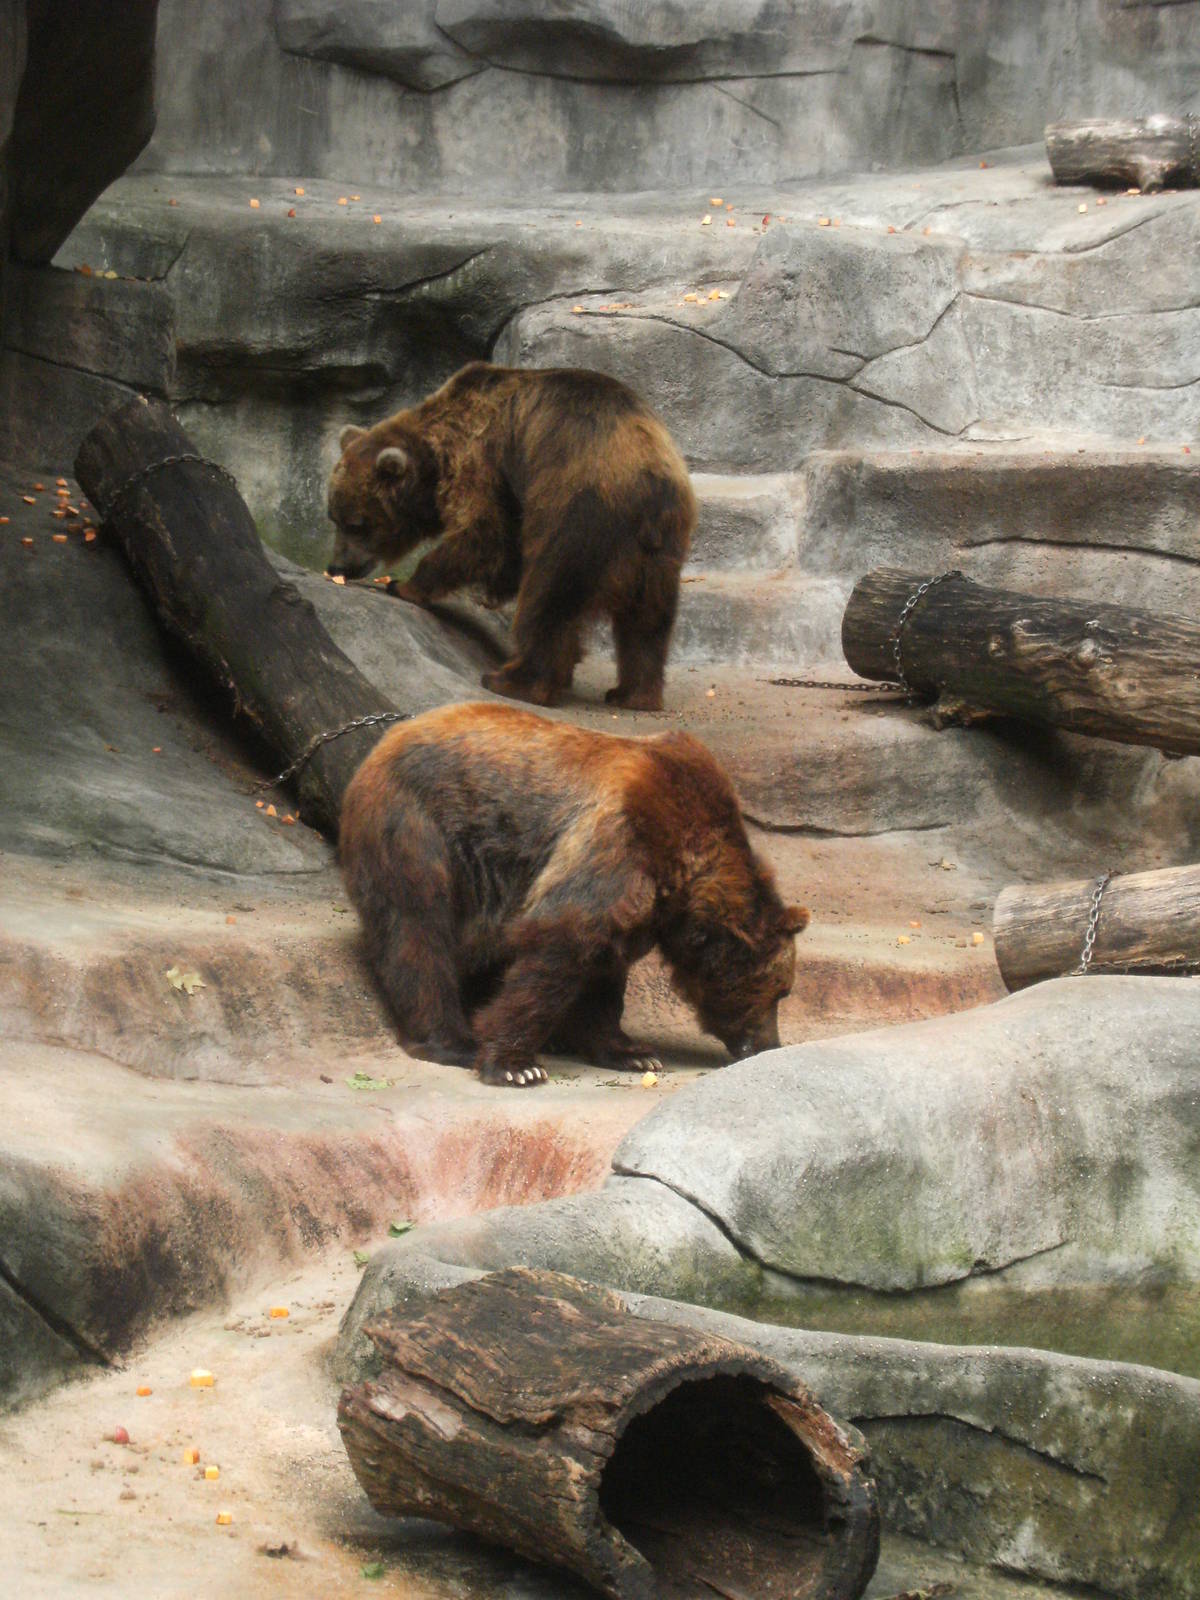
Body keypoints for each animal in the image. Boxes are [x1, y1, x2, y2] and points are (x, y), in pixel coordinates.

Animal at [326, 361, 696, 712]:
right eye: (334, 516)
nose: (336, 566)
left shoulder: (483, 458)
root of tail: (648, 484)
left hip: (578, 513)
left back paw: (512, 680)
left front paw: (404, 585)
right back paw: (631, 694)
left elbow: (483, 534)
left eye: (356, 523)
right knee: (647, 624)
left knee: (546, 597)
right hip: (660, 552)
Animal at [338, 701, 809, 1088]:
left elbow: (603, 966)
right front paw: (514, 1064)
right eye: (780, 991)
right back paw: (452, 1040)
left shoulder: (640, 902)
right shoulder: (619, 843)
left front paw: (632, 1052)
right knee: (417, 930)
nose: (769, 1044)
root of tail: (382, 743)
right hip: (415, 827)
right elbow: (560, 937)